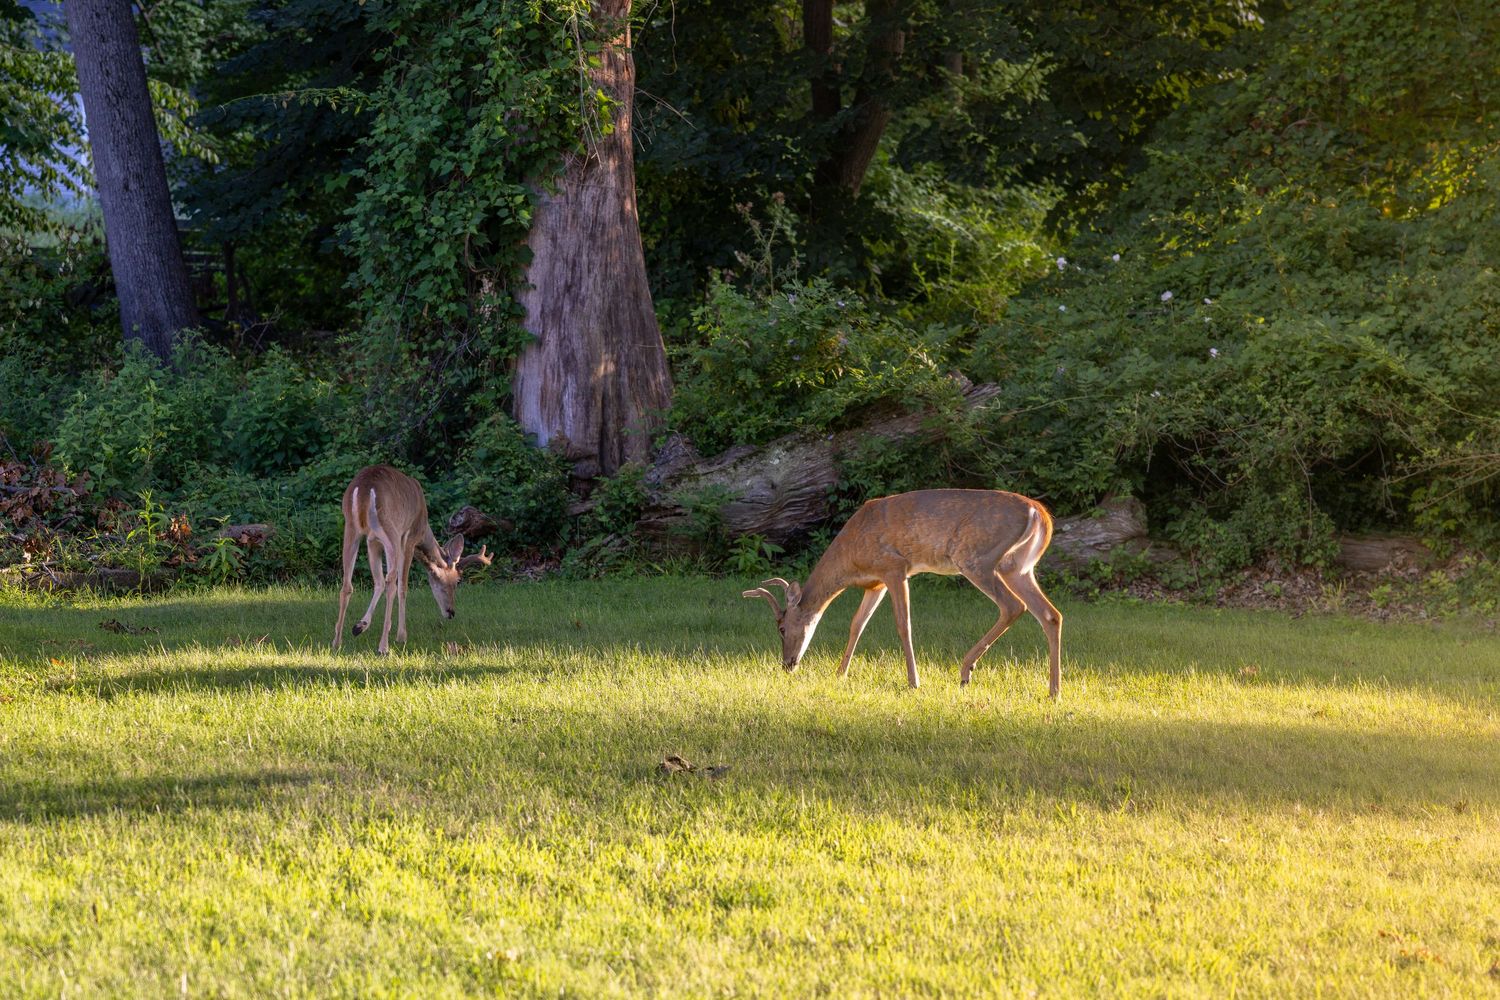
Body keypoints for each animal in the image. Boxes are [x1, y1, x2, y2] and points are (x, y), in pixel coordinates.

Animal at [332, 465, 492, 654]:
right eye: (457, 581)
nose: (451, 612)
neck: (424, 529)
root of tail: (365, 489)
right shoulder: (408, 538)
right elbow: (403, 586)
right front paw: (401, 635)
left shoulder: (373, 542)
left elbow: (378, 582)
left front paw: (360, 626)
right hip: (391, 532)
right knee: (392, 581)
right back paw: (384, 645)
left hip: (351, 528)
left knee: (348, 584)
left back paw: (337, 642)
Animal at [742, 489, 1064, 696]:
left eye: (782, 628)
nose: (787, 664)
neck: (851, 558)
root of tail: (1040, 514)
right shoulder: (876, 583)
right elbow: (857, 624)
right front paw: (840, 673)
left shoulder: (894, 567)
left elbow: (903, 624)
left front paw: (913, 681)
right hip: (1018, 567)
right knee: (1051, 614)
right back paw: (1053, 690)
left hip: (977, 558)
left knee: (1013, 606)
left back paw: (965, 671)